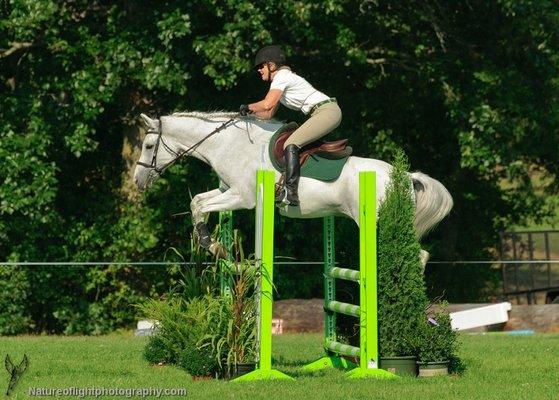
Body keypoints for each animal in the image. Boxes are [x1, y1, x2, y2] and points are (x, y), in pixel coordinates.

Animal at [133, 111, 452, 260]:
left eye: (148, 146)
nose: (137, 181)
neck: (228, 143)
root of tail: (406, 176)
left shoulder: (243, 197)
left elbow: (200, 204)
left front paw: (211, 245)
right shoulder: (227, 191)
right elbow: (197, 201)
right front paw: (213, 245)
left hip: (379, 220)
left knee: (418, 254)